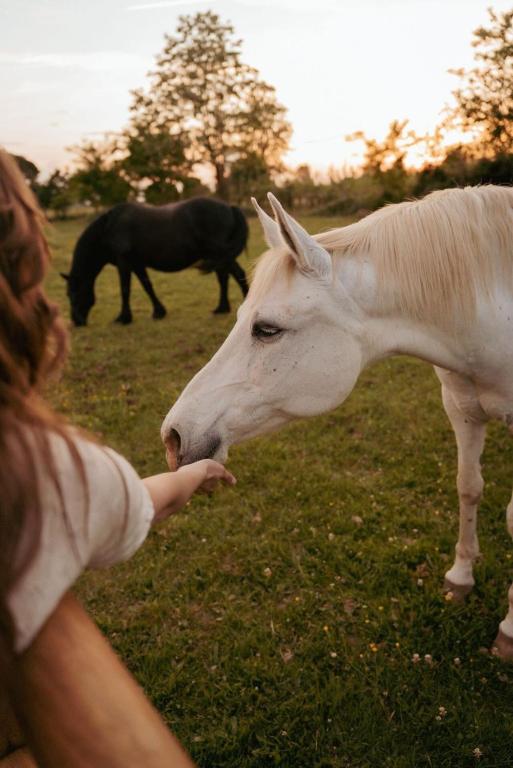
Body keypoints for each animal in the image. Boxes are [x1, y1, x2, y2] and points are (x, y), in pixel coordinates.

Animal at [62, 197, 249, 326]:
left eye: (73, 294)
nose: (76, 321)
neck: (108, 227)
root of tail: (229, 207)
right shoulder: (137, 263)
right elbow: (147, 286)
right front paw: (159, 312)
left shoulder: (124, 262)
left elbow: (125, 289)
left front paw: (123, 318)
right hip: (219, 256)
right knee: (226, 276)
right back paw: (223, 308)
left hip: (220, 254)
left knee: (235, 274)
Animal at [161, 186, 513, 658]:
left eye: (267, 329)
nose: (173, 435)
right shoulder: (462, 410)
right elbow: (468, 487)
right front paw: (460, 577)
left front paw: (509, 628)